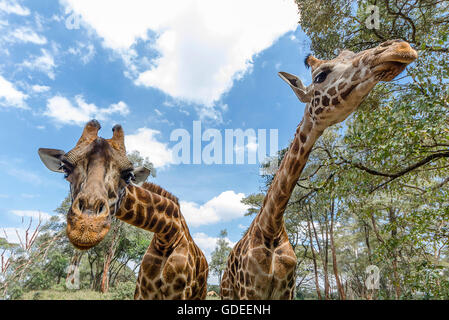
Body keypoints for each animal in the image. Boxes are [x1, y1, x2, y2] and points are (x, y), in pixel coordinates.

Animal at [36, 120, 208, 300]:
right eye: (65, 169)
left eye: (128, 175)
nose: (85, 227)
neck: (167, 236)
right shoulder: (143, 291)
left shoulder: (178, 293)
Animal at [220, 40, 416, 300]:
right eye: (320, 76)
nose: (400, 47)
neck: (271, 228)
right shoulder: (248, 292)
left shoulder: (287, 290)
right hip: (227, 293)